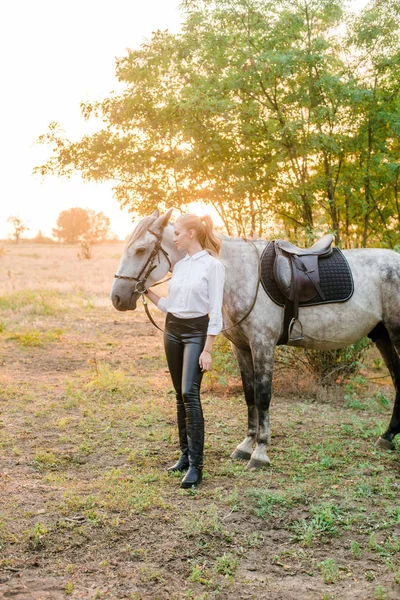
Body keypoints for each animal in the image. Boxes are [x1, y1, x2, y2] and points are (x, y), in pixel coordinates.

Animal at [109, 211, 400, 468]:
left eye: (140, 250)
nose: (117, 298)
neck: (238, 273)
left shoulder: (262, 344)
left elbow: (263, 396)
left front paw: (260, 453)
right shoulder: (241, 347)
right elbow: (249, 394)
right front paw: (246, 445)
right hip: (383, 335)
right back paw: (386, 437)